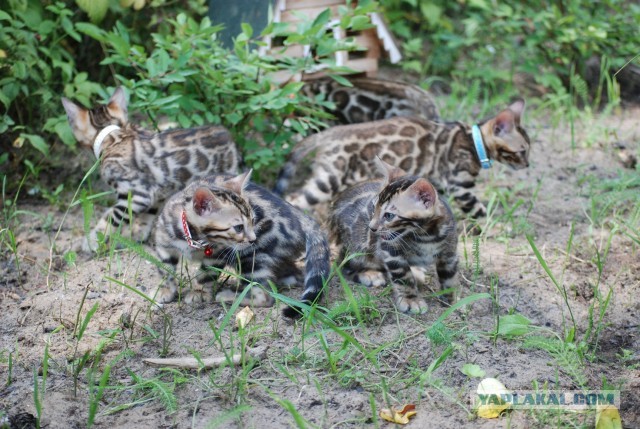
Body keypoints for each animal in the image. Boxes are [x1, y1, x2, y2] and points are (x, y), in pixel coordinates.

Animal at [62, 87, 240, 251]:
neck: (114, 135)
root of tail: (228, 136)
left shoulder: (136, 194)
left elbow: (109, 218)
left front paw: (92, 241)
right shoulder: (158, 193)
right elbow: (148, 215)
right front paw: (138, 235)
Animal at [152, 169, 328, 316]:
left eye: (253, 220)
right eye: (238, 227)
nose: (253, 239)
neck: (195, 239)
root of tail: (300, 216)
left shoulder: (216, 256)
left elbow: (205, 275)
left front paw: (199, 291)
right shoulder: (162, 244)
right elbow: (164, 269)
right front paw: (165, 290)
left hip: (251, 255)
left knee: (264, 296)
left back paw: (228, 296)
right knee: (293, 274)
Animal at [276, 99, 528, 217]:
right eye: (523, 150)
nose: (527, 164)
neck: (474, 141)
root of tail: (331, 132)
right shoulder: (460, 186)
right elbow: (478, 210)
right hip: (328, 180)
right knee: (295, 197)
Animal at [330, 159, 460, 312]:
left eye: (389, 216)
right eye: (373, 208)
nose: (371, 227)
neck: (427, 236)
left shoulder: (449, 254)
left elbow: (449, 279)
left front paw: (452, 301)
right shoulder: (391, 252)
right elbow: (403, 277)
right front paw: (411, 300)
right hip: (354, 247)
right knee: (343, 265)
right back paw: (369, 274)